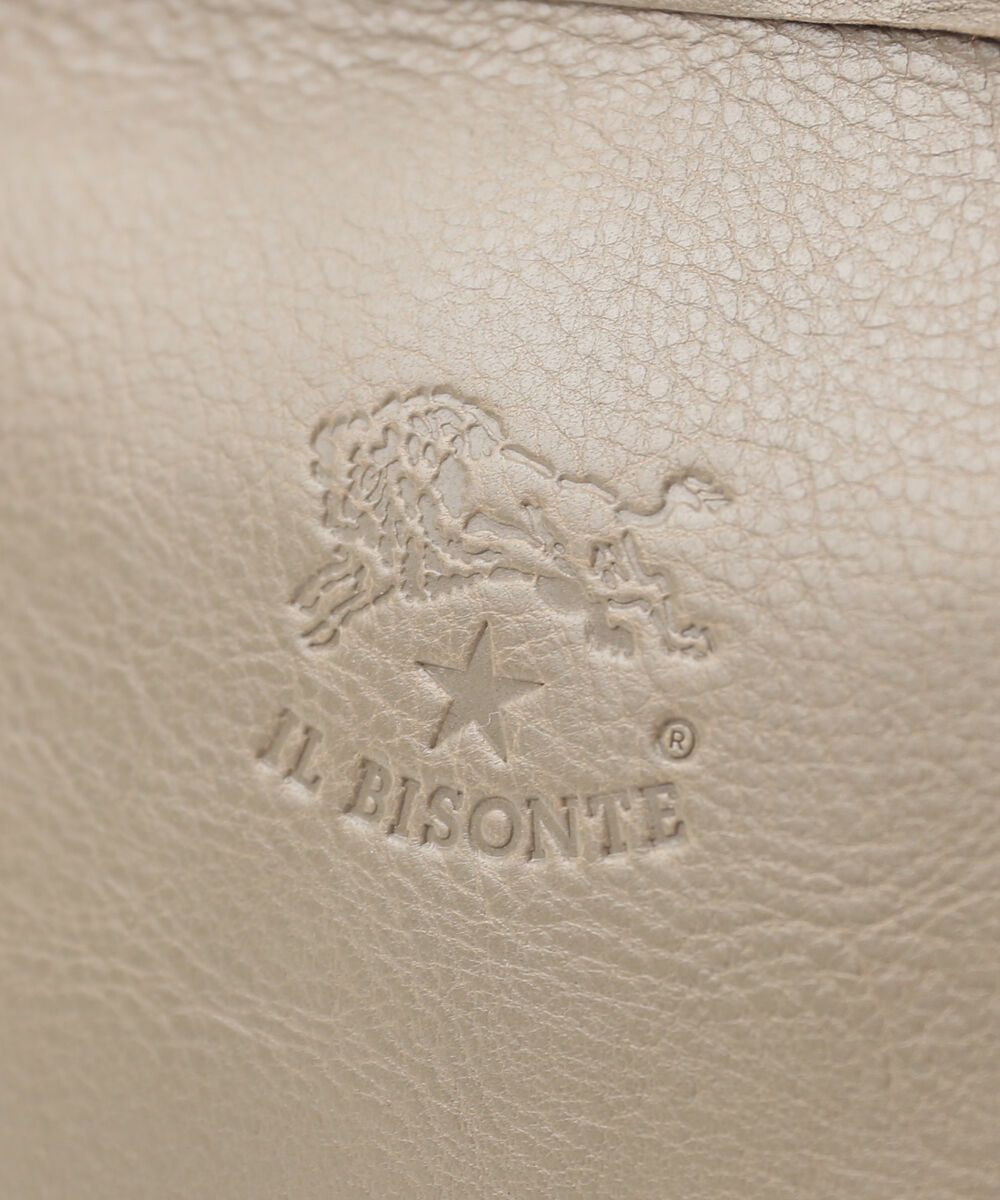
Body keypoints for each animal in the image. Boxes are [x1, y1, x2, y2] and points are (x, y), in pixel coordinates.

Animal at [293, 389, 728, 656]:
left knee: (636, 593)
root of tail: (614, 509)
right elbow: (336, 585)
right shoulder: (370, 559)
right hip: (612, 557)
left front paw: (317, 626)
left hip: (591, 562)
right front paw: (307, 614)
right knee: (652, 589)